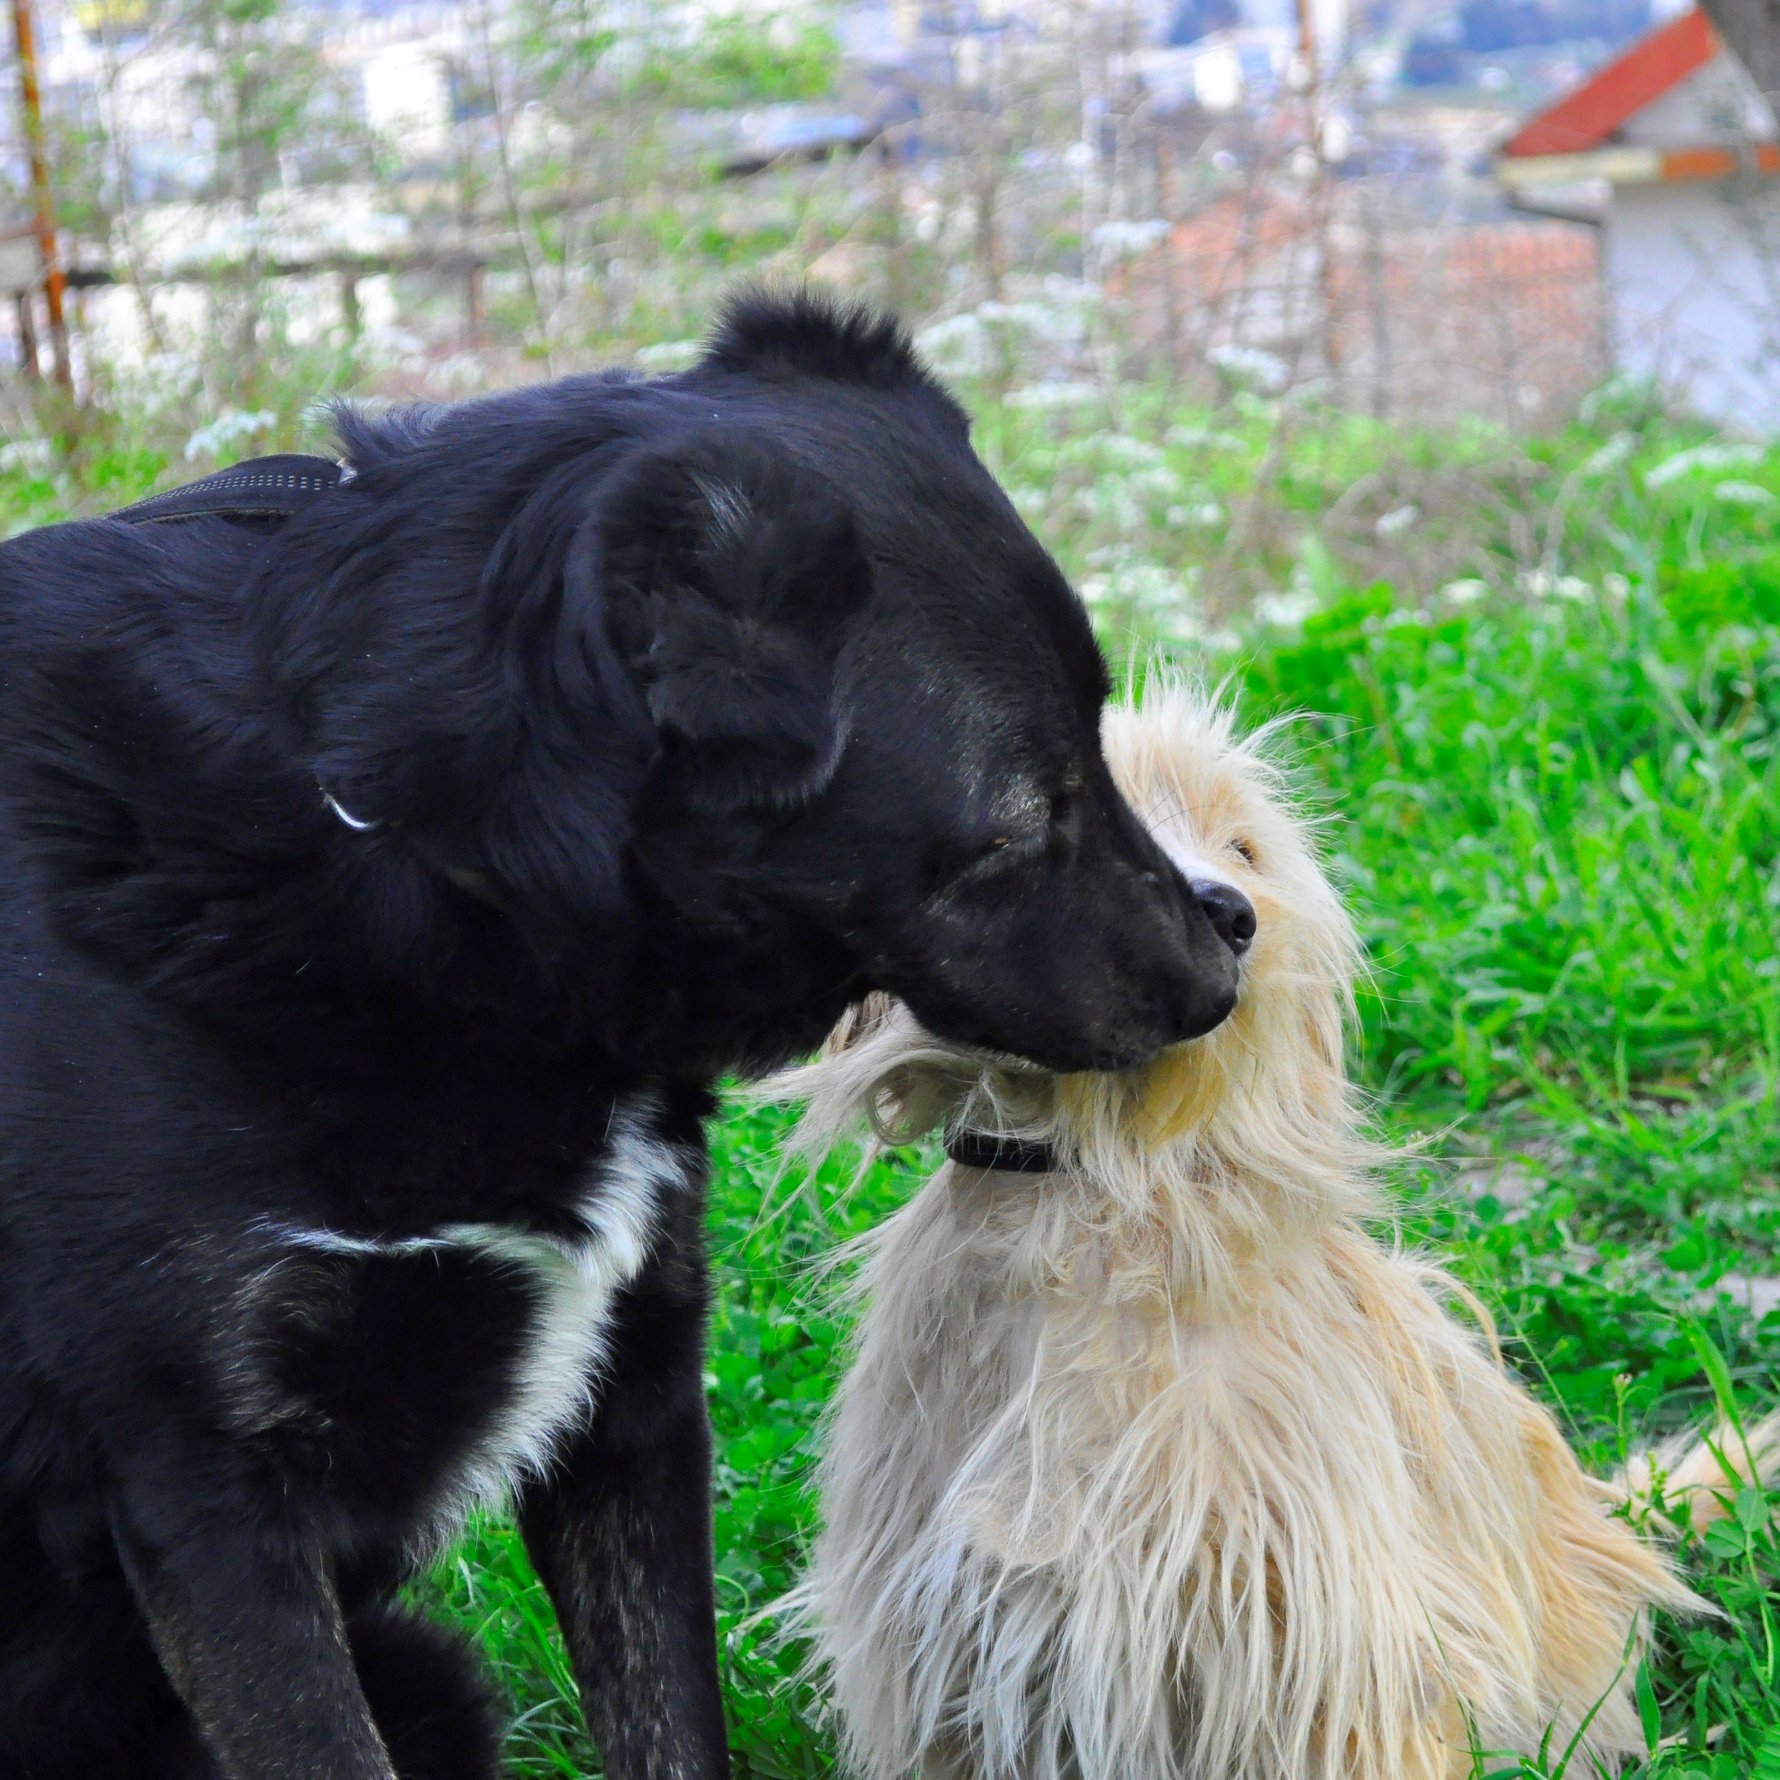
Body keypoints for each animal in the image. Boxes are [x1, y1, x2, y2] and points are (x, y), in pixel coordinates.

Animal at [0, 295, 1238, 1780]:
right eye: (1012, 825)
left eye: (1098, 748)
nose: (1226, 963)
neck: (415, 854)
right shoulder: (208, 1493)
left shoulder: (633, 1389)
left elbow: (667, 1720)